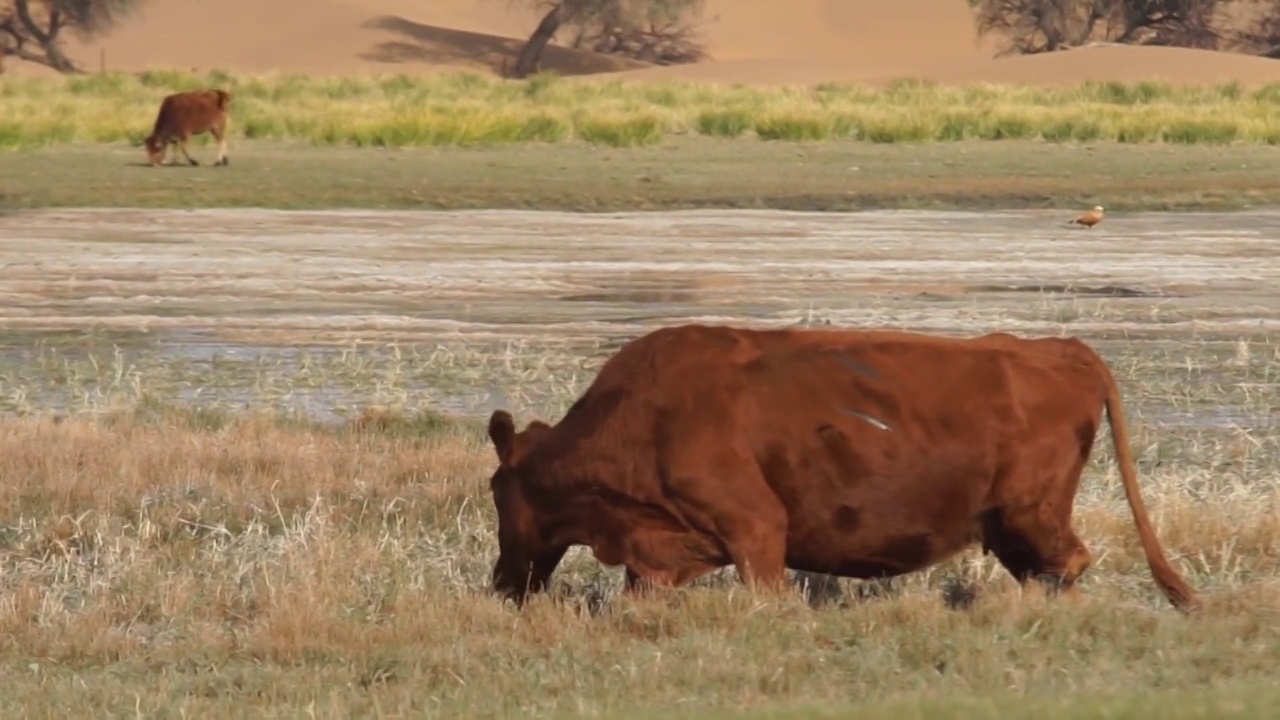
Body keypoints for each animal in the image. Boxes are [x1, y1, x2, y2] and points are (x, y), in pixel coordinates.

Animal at [481, 325, 1198, 609]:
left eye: (495, 491)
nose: (501, 583)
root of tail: (1059, 348)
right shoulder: (659, 552)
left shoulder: (756, 528)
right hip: (1008, 524)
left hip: (1030, 511)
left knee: (1068, 562)